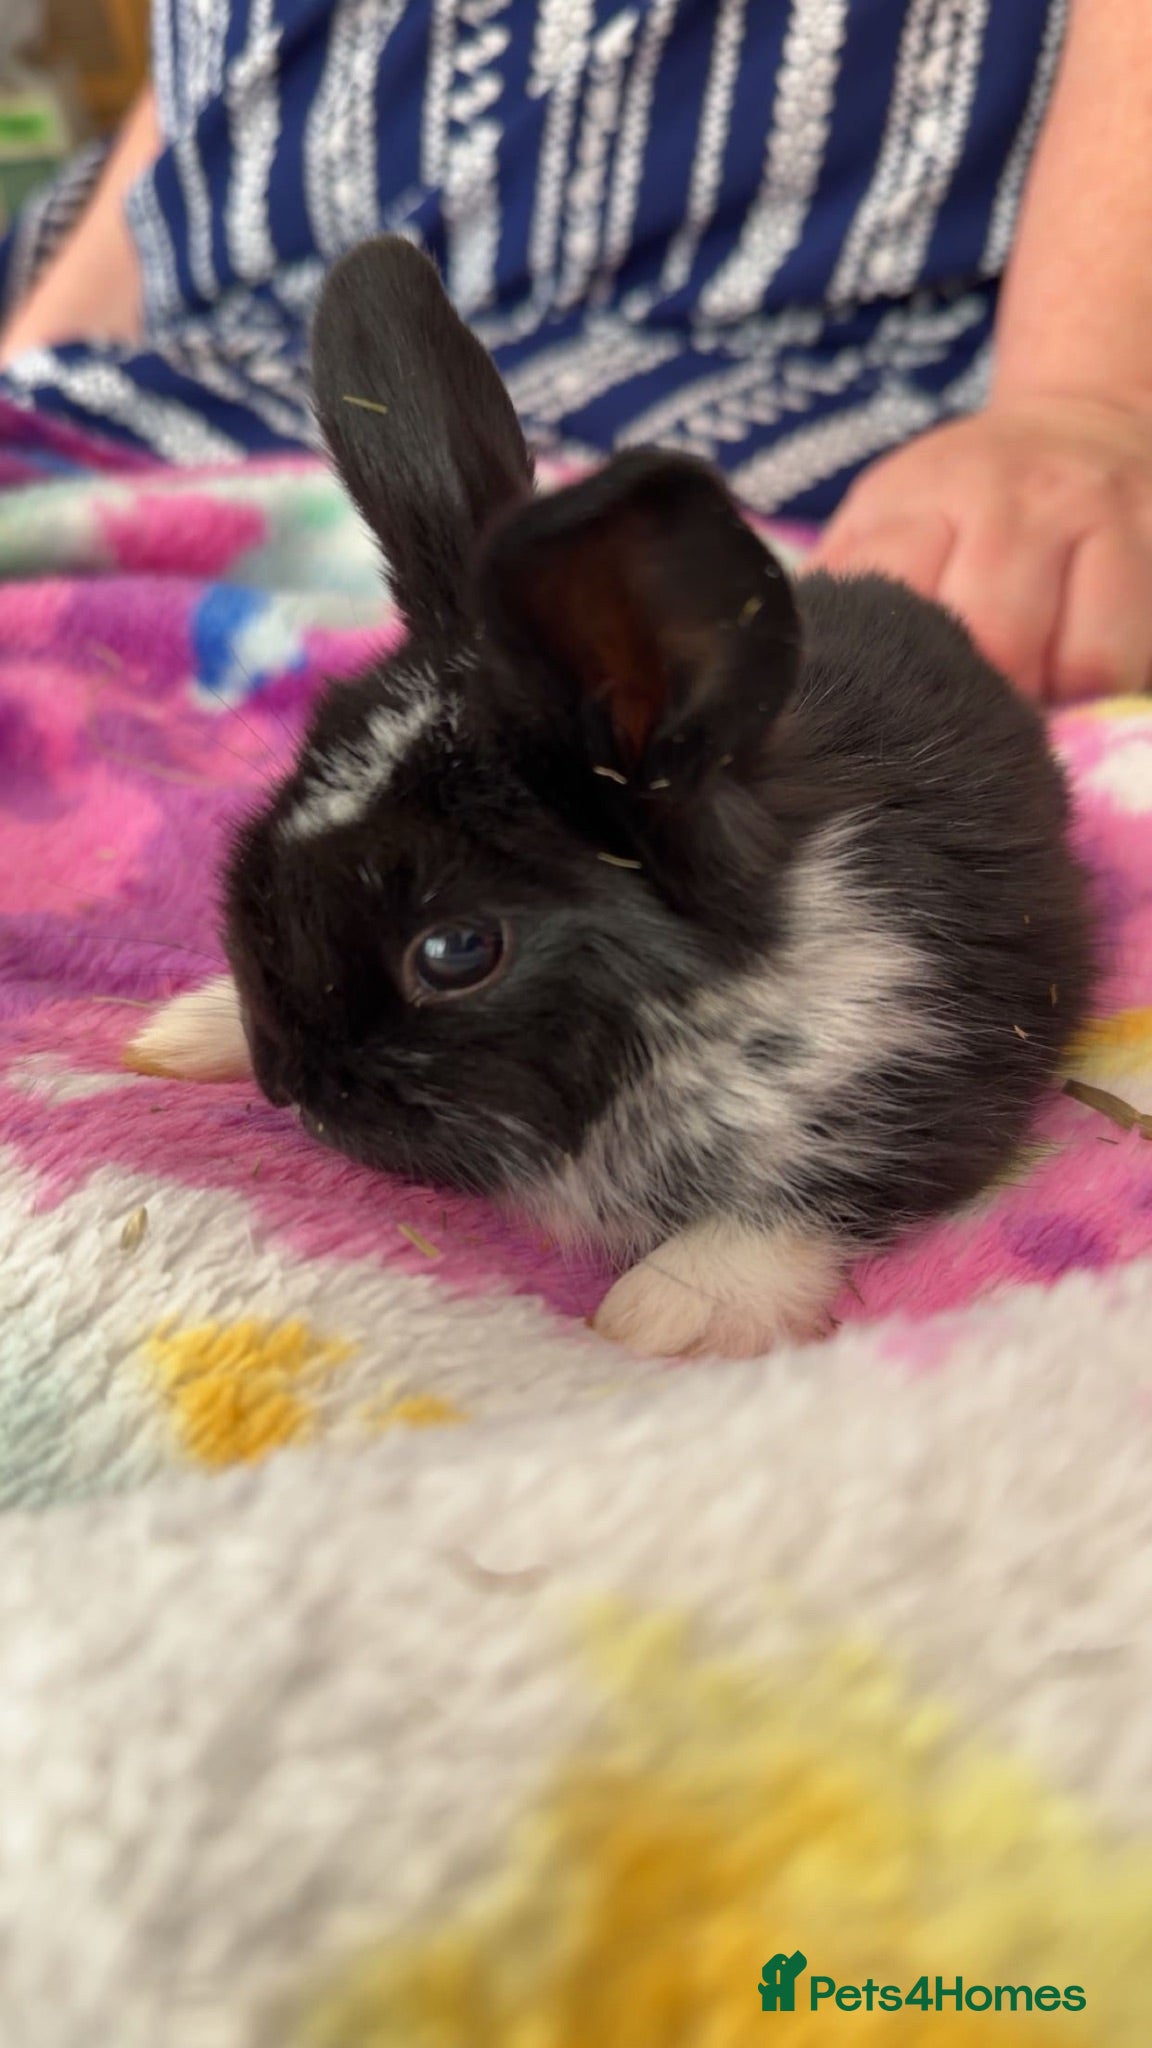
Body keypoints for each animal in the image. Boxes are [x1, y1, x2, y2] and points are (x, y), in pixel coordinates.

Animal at [128, 233, 1097, 1360]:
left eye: (456, 952)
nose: (289, 1083)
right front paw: (181, 1033)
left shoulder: (929, 1068)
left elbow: (817, 1195)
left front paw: (668, 1313)